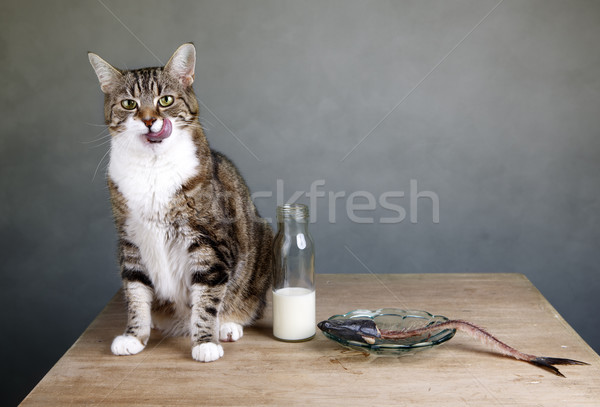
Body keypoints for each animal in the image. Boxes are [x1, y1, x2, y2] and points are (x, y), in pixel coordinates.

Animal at [88, 43, 274, 364]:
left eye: (165, 100)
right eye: (129, 104)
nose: (150, 120)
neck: (152, 167)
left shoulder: (209, 242)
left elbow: (207, 298)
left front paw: (205, 342)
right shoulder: (130, 241)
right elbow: (136, 292)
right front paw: (134, 336)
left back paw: (227, 325)